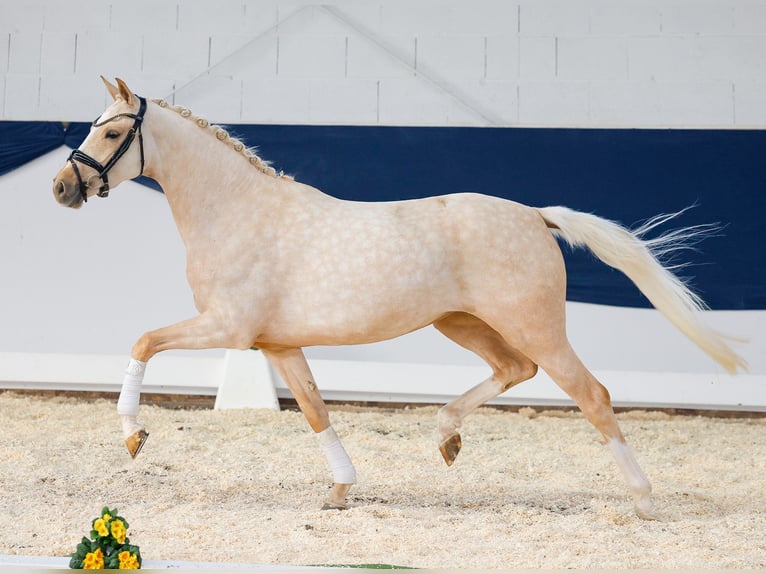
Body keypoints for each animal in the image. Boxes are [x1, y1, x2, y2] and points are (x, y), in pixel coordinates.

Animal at [52, 79, 744, 524]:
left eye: (112, 130)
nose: (62, 187)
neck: (238, 211)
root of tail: (535, 216)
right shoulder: (278, 343)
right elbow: (314, 410)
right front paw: (340, 491)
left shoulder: (227, 327)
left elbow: (143, 340)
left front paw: (134, 436)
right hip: (461, 324)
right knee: (515, 370)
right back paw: (446, 437)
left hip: (534, 324)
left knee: (591, 394)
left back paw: (645, 501)